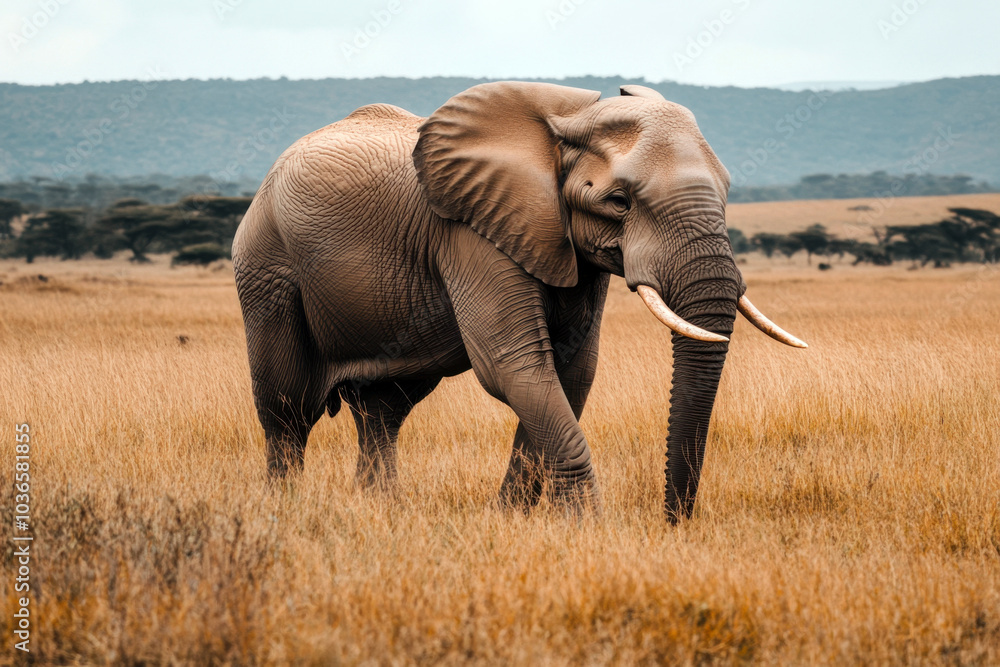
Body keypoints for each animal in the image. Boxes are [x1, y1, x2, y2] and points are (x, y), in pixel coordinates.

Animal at [232, 81, 807, 522]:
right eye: (619, 202)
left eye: (728, 191)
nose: (673, 523)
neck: (568, 119)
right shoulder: (471, 232)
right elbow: (515, 366)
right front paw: (588, 529)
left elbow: (570, 372)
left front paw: (509, 519)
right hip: (266, 264)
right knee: (287, 409)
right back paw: (281, 510)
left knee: (383, 411)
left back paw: (381, 508)